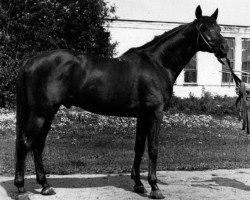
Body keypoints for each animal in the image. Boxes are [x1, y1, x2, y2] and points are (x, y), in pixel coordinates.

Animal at [13, 5, 229, 199]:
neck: (157, 64)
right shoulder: (155, 114)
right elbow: (153, 148)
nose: (224, 49)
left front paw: (139, 184)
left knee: (37, 145)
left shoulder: (142, 116)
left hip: (48, 113)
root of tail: (29, 61)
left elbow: (139, 147)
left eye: (219, 28)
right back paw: (22, 189)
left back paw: (45, 186)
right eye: (204, 28)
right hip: (41, 113)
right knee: (25, 143)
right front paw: (155, 187)